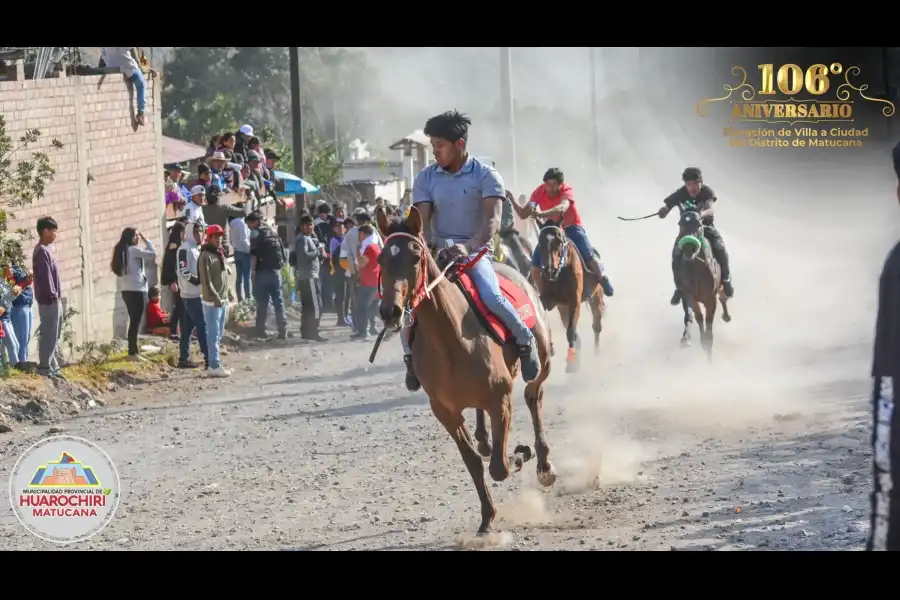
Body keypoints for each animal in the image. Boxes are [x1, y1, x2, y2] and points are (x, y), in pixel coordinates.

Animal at [372, 206, 556, 536]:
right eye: (381, 259)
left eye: (415, 257)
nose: (390, 311)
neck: (450, 337)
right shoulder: (445, 411)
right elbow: (473, 462)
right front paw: (487, 518)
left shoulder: (500, 400)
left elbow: (500, 467)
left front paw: (522, 453)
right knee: (485, 434)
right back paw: (485, 439)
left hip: (542, 363)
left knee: (534, 395)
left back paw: (544, 464)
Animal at [536, 220, 604, 370]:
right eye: (540, 242)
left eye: (559, 242)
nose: (550, 270)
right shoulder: (549, 299)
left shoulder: (574, 300)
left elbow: (571, 331)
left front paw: (572, 364)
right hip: (563, 307)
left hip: (596, 294)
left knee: (596, 322)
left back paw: (596, 354)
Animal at [676, 211, 732, 358]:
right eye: (680, 224)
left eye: (699, 225)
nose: (689, 249)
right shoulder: (689, 295)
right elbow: (693, 316)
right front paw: (687, 338)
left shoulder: (710, 299)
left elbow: (709, 326)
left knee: (723, 296)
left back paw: (726, 315)